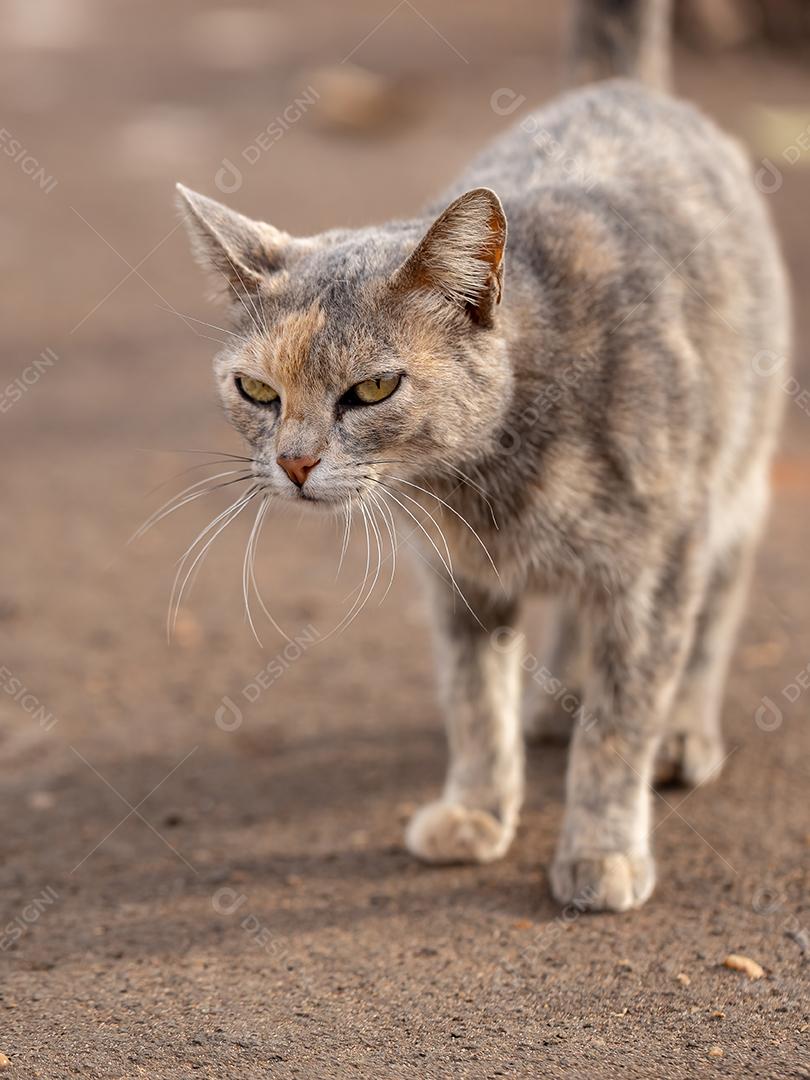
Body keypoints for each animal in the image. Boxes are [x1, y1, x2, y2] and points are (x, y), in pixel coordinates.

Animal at [177, 0, 794, 911]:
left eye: (373, 389)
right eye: (256, 390)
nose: (293, 463)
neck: (483, 484)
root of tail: (622, 87)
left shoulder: (657, 566)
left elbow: (624, 720)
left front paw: (602, 845)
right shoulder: (458, 580)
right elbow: (474, 702)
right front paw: (476, 808)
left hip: (733, 485)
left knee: (714, 608)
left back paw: (683, 728)